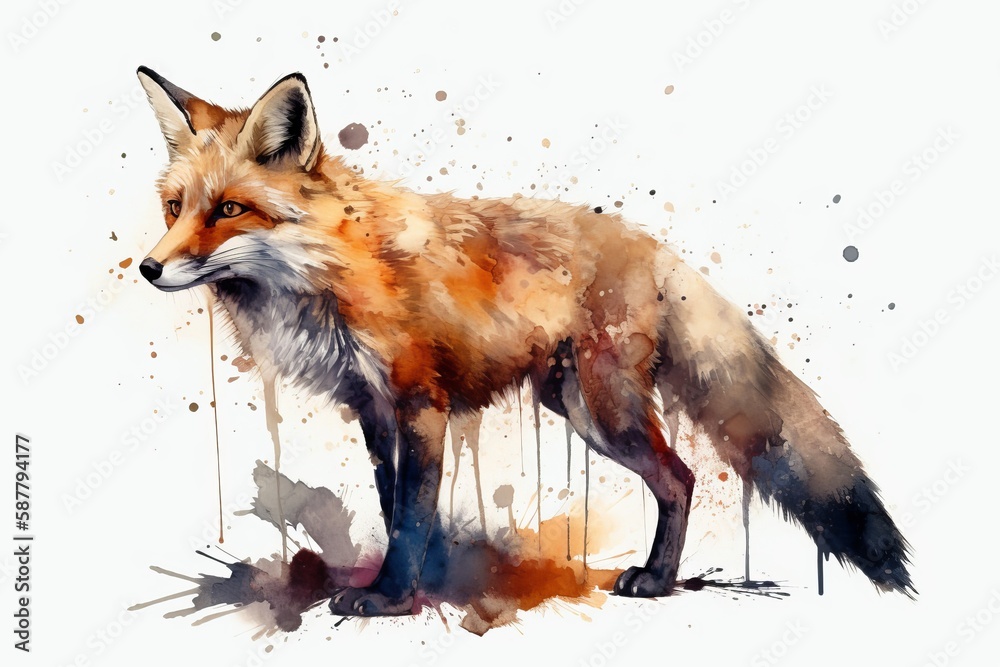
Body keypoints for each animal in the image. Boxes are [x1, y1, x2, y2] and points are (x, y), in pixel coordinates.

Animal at [136, 66, 914, 616]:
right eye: (175, 208)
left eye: (229, 209)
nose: (148, 268)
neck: (331, 270)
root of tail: (653, 246)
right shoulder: (373, 410)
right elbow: (397, 505)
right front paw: (422, 582)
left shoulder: (420, 402)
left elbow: (411, 512)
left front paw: (389, 597)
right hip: (575, 406)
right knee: (680, 477)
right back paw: (659, 576)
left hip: (605, 410)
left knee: (682, 476)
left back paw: (658, 580)